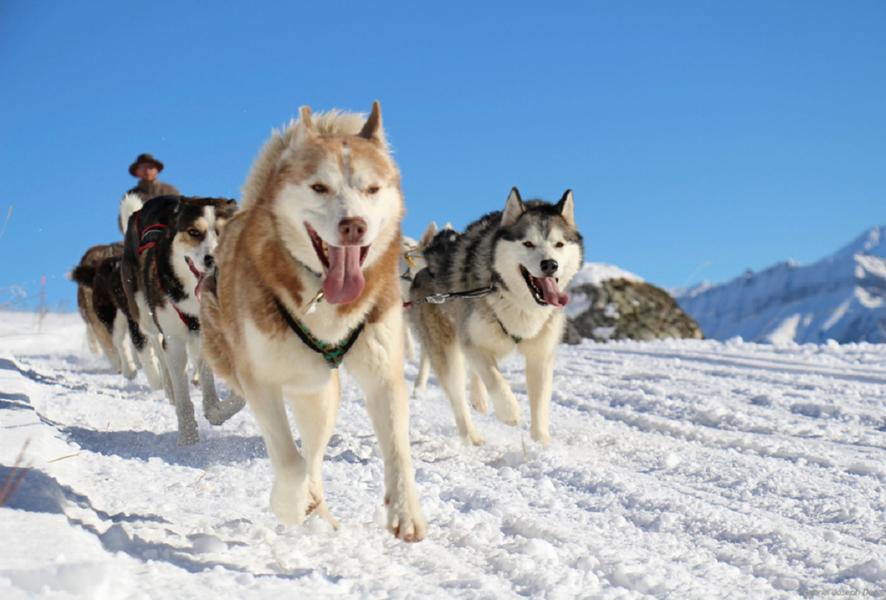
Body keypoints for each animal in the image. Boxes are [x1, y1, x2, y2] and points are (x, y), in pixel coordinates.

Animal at [119, 195, 243, 442]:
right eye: (194, 232)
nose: (212, 259)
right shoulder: (174, 340)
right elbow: (182, 393)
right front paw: (187, 436)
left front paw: (216, 411)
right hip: (143, 312)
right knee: (156, 345)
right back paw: (168, 387)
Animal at [200, 101, 426, 540]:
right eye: (319, 187)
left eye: (371, 189)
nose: (353, 225)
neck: (322, 295)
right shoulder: (259, 381)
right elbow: (289, 463)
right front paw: (287, 505)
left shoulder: (383, 372)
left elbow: (397, 448)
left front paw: (405, 512)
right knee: (300, 459)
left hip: (319, 398)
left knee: (315, 458)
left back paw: (320, 511)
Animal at [412, 188, 588, 446]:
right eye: (528, 243)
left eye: (559, 244)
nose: (550, 264)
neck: (516, 300)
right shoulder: (472, 343)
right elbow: (495, 379)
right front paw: (509, 411)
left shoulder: (541, 355)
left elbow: (540, 402)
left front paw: (541, 442)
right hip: (448, 350)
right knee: (457, 395)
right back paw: (471, 435)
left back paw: (479, 400)